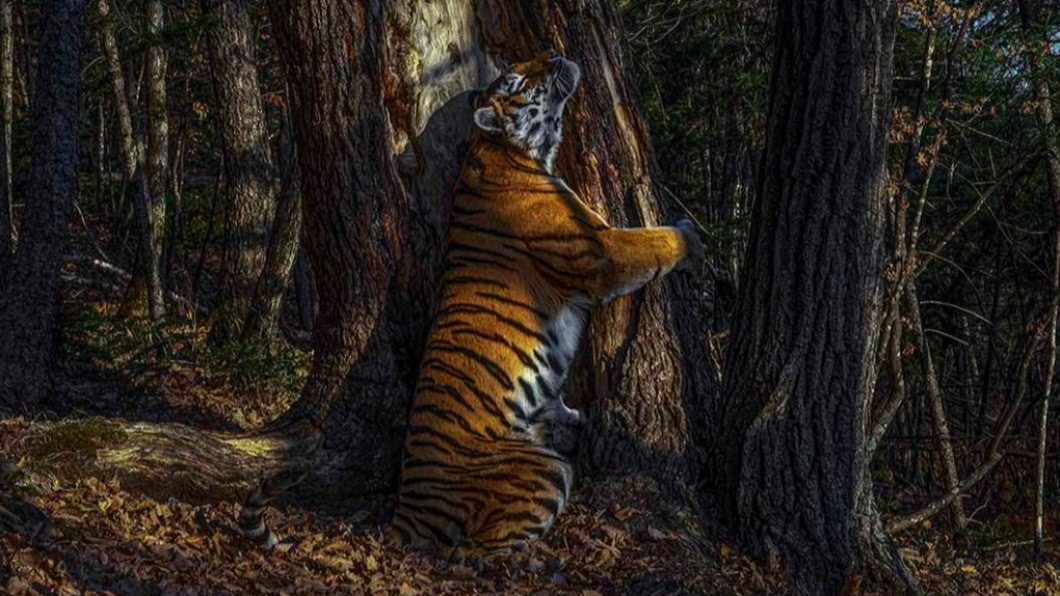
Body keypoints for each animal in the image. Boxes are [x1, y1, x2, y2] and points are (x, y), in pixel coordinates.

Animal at [387, 50, 705, 556]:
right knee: (482, 550)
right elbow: (653, 241)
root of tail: (406, 509)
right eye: (516, 81)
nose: (555, 54)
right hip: (541, 471)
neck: (505, 150)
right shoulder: (599, 250)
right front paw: (692, 238)